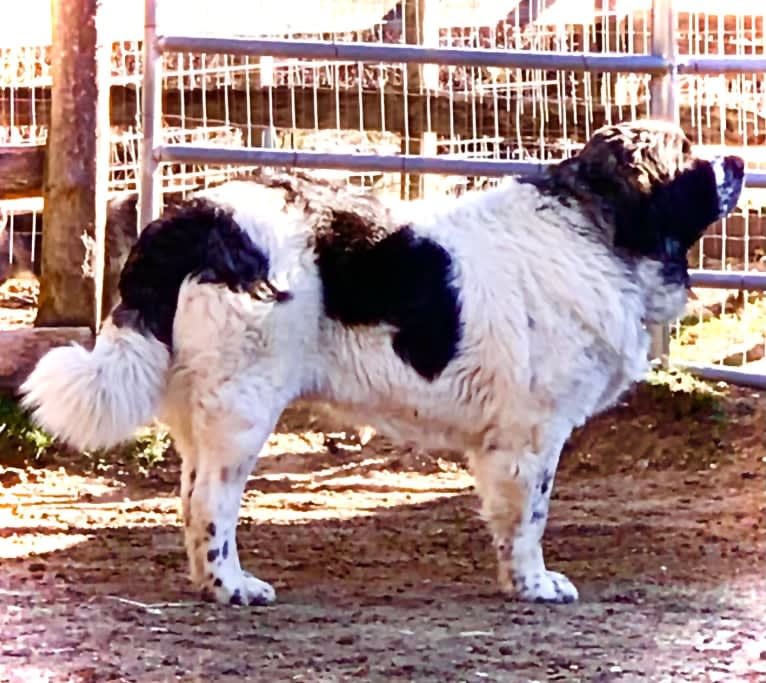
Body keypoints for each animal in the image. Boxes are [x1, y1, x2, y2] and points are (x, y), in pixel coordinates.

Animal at [22, 120, 744, 608]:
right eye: (690, 158)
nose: (738, 159)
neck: (596, 230)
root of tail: (199, 214)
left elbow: (508, 520)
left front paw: (516, 581)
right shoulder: (534, 436)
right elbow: (530, 517)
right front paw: (536, 584)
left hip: (201, 408)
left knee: (189, 497)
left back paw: (210, 582)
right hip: (243, 407)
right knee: (211, 504)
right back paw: (234, 586)